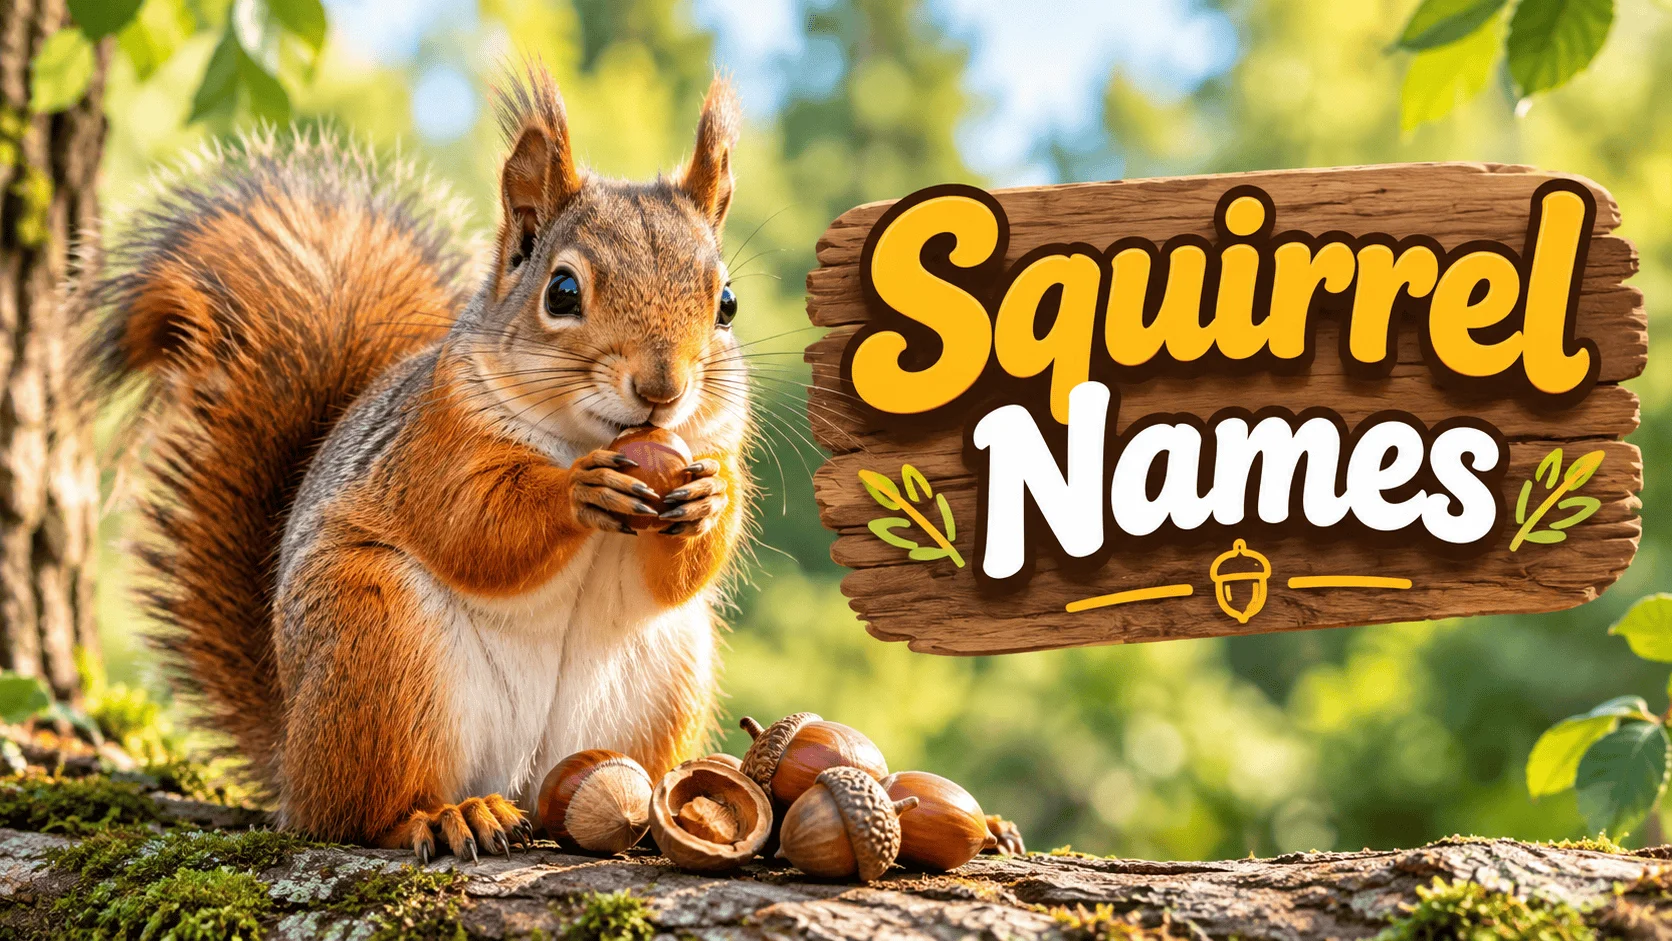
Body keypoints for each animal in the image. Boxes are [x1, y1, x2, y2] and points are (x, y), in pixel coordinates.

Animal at [84, 66, 753, 861]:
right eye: (562, 291)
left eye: (727, 302)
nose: (662, 390)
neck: (580, 433)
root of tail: (294, 763)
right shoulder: (434, 444)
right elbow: (473, 526)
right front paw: (576, 491)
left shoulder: (715, 439)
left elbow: (684, 570)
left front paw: (710, 499)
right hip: (376, 646)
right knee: (363, 813)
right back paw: (444, 816)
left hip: (662, 678)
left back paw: (651, 820)